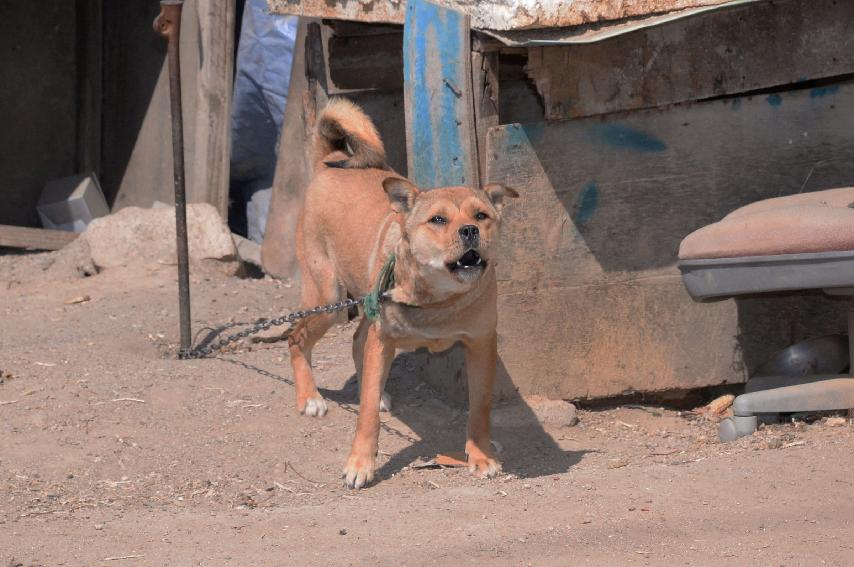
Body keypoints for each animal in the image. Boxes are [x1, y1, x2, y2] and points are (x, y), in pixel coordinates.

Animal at [288, 97, 520, 488]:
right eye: (438, 220)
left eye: (481, 215)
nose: (470, 231)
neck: (439, 300)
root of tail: (328, 163)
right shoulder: (384, 339)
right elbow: (367, 415)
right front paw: (360, 464)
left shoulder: (480, 344)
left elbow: (480, 407)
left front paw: (480, 455)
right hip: (329, 299)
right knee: (296, 336)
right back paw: (310, 397)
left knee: (357, 341)